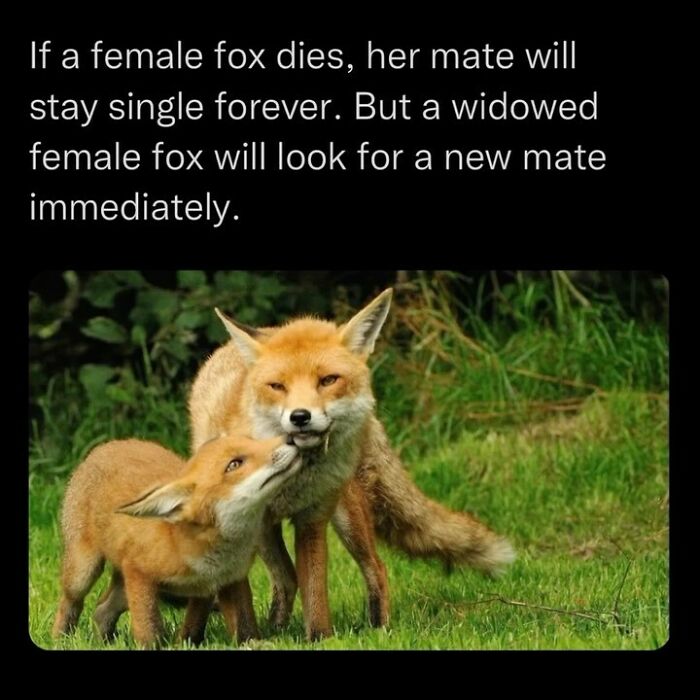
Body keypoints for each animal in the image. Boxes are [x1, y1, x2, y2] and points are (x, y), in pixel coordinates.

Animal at [52, 435, 302, 647]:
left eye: (253, 440)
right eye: (234, 464)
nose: (290, 437)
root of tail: (106, 446)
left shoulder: (225, 581)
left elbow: (239, 623)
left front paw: (251, 643)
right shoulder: (138, 571)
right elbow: (149, 627)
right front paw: (156, 645)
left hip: (124, 589)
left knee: (101, 610)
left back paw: (105, 640)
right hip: (84, 572)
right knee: (71, 603)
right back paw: (60, 639)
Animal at [188, 288, 515, 640]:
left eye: (328, 380)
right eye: (277, 386)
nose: (300, 416)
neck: (292, 480)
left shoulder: (313, 520)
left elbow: (316, 593)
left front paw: (320, 639)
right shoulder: (245, 525)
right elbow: (243, 596)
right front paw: (249, 638)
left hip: (347, 512)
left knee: (375, 567)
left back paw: (380, 630)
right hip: (268, 533)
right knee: (286, 579)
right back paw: (275, 628)